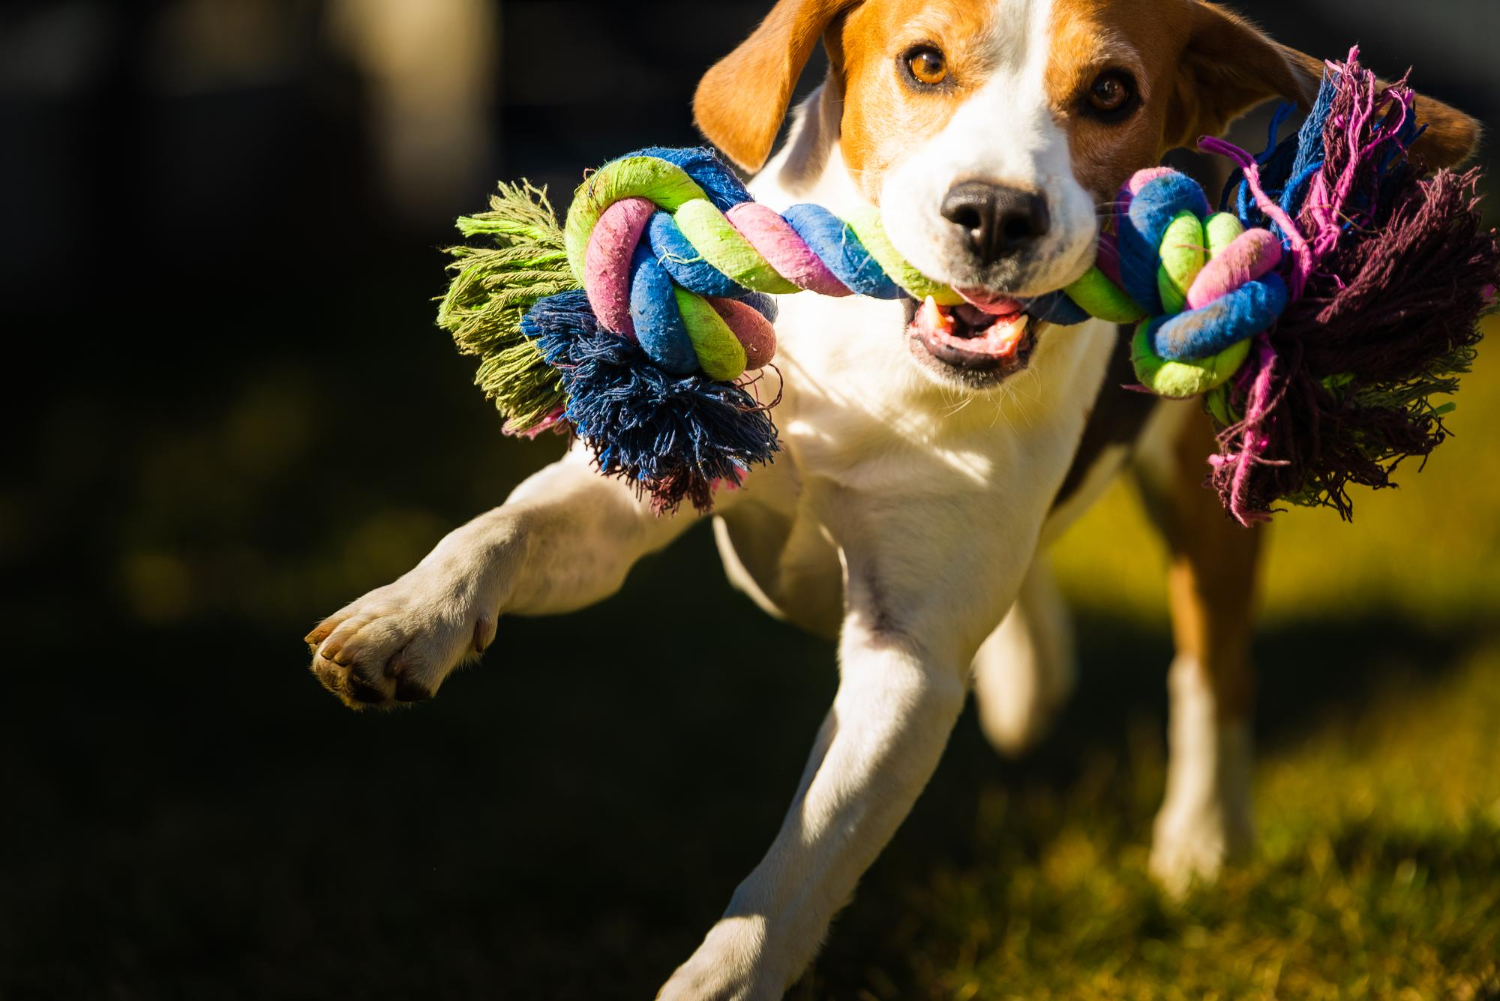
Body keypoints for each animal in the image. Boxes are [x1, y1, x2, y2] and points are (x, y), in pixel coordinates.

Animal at [304, 3, 1476, 996]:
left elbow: (798, 872)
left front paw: (718, 978)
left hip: (1205, 489)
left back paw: (1199, 837)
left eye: (1109, 93)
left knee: (1213, 662)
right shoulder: (652, 469)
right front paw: (405, 617)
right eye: (923, 63)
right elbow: (499, 525)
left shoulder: (906, 653)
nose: (995, 213)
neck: (886, 351)